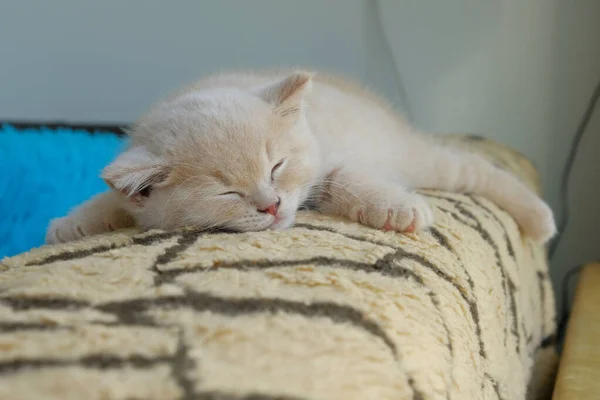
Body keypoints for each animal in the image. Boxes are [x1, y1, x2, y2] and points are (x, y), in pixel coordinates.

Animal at [44, 70, 556, 244]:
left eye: (276, 166)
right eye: (227, 192)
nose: (271, 206)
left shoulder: (328, 157)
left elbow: (346, 176)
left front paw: (398, 209)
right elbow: (114, 198)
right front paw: (72, 224)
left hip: (417, 157)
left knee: (476, 169)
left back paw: (539, 219)